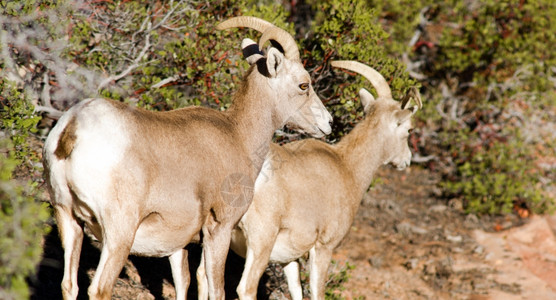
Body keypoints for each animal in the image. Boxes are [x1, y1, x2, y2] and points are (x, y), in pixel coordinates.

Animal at [43, 17, 332, 300]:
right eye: (303, 85)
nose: (328, 123)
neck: (238, 134)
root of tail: (73, 128)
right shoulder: (220, 228)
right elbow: (216, 289)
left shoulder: (178, 245)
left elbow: (185, 282)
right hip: (118, 233)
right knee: (99, 288)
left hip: (68, 218)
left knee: (69, 285)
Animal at [199, 59, 422, 298]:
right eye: (409, 129)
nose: (406, 160)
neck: (346, 166)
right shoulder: (324, 247)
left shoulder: (289, 259)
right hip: (260, 242)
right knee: (246, 287)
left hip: (214, 237)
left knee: (203, 276)